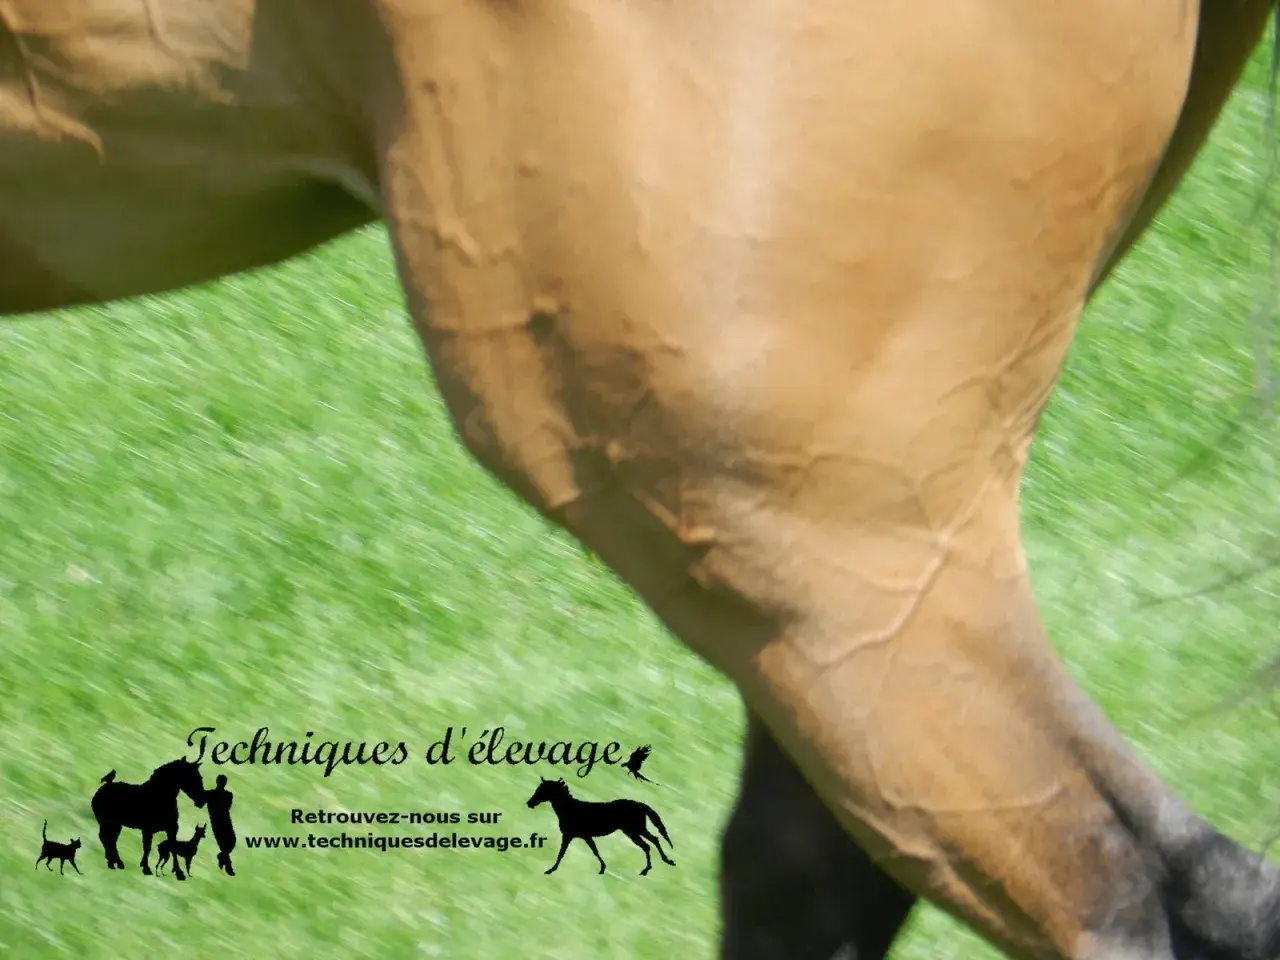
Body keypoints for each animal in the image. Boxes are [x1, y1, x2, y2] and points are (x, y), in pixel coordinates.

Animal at [527, 776, 676, 876]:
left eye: (542, 791)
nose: (529, 803)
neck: (570, 809)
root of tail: (640, 805)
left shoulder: (568, 836)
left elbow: (561, 853)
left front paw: (550, 870)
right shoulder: (586, 836)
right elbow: (595, 851)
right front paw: (603, 868)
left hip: (634, 830)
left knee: (649, 844)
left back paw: (647, 869)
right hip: (634, 830)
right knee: (652, 841)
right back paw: (663, 863)